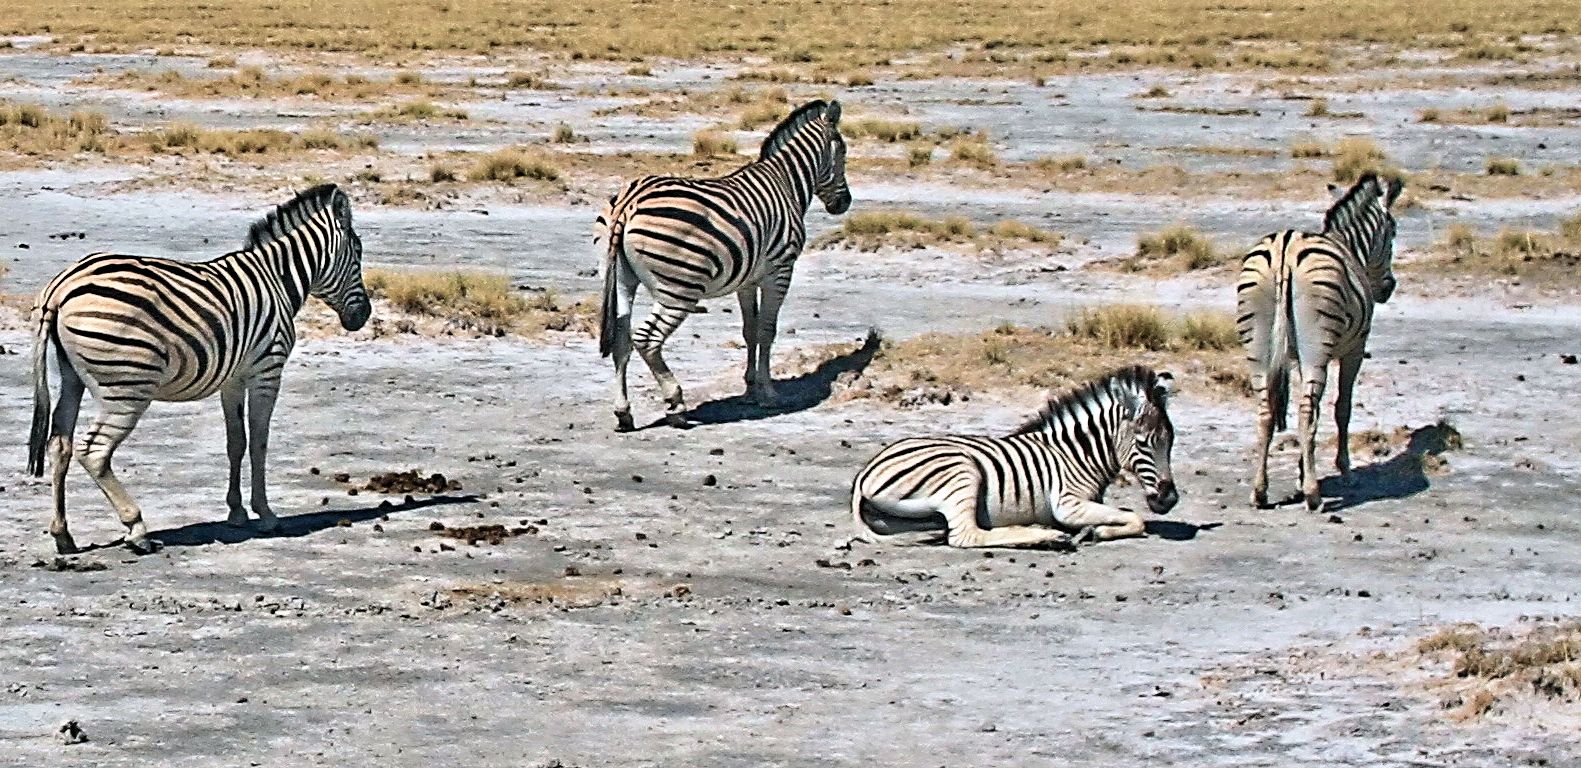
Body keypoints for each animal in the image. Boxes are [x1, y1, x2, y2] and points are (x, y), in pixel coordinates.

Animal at [24, 185, 369, 559]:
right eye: (358, 253)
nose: (363, 317)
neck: (276, 279)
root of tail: (61, 287)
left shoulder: (234, 378)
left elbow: (236, 442)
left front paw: (236, 511)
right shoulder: (267, 370)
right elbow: (259, 442)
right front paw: (265, 514)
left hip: (71, 375)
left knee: (60, 444)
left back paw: (63, 535)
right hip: (127, 385)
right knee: (94, 451)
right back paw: (137, 528)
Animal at [594, 98, 853, 429]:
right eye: (842, 152)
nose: (844, 204)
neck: (786, 182)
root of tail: (629, 201)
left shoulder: (748, 279)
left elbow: (750, 329)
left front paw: (750, 387)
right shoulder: (780, 270)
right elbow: (767, 329)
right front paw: (768, 393)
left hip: (620, 278)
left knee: (622, 339)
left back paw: (624, 412)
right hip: (680, 286)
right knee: (646, 338)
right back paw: (676, 404)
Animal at [847, 366, 1182, 546]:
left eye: (1171, 442)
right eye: (1143, 443)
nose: (1169, 499)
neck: (1079, 454)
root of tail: (865, 472)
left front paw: (1098, 529)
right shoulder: (1067, 504)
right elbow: (1136, 518)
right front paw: (1097, 531)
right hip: (961, 472)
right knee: (966, 536)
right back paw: (1043, 536)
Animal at [1239, 172, 1403, 508]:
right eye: (1392, 232)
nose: (1388, 288)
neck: (1350, 246)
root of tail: (1285, 252)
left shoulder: (1297, 357)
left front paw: (1302, 474)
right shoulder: (1355, 348)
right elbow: (1343, 407)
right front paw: (1344, 470)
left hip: (1260, 346)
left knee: (1266, 412)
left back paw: (1260, 491)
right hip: (1317, 346)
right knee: (1305, 412)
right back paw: (1313, 495)